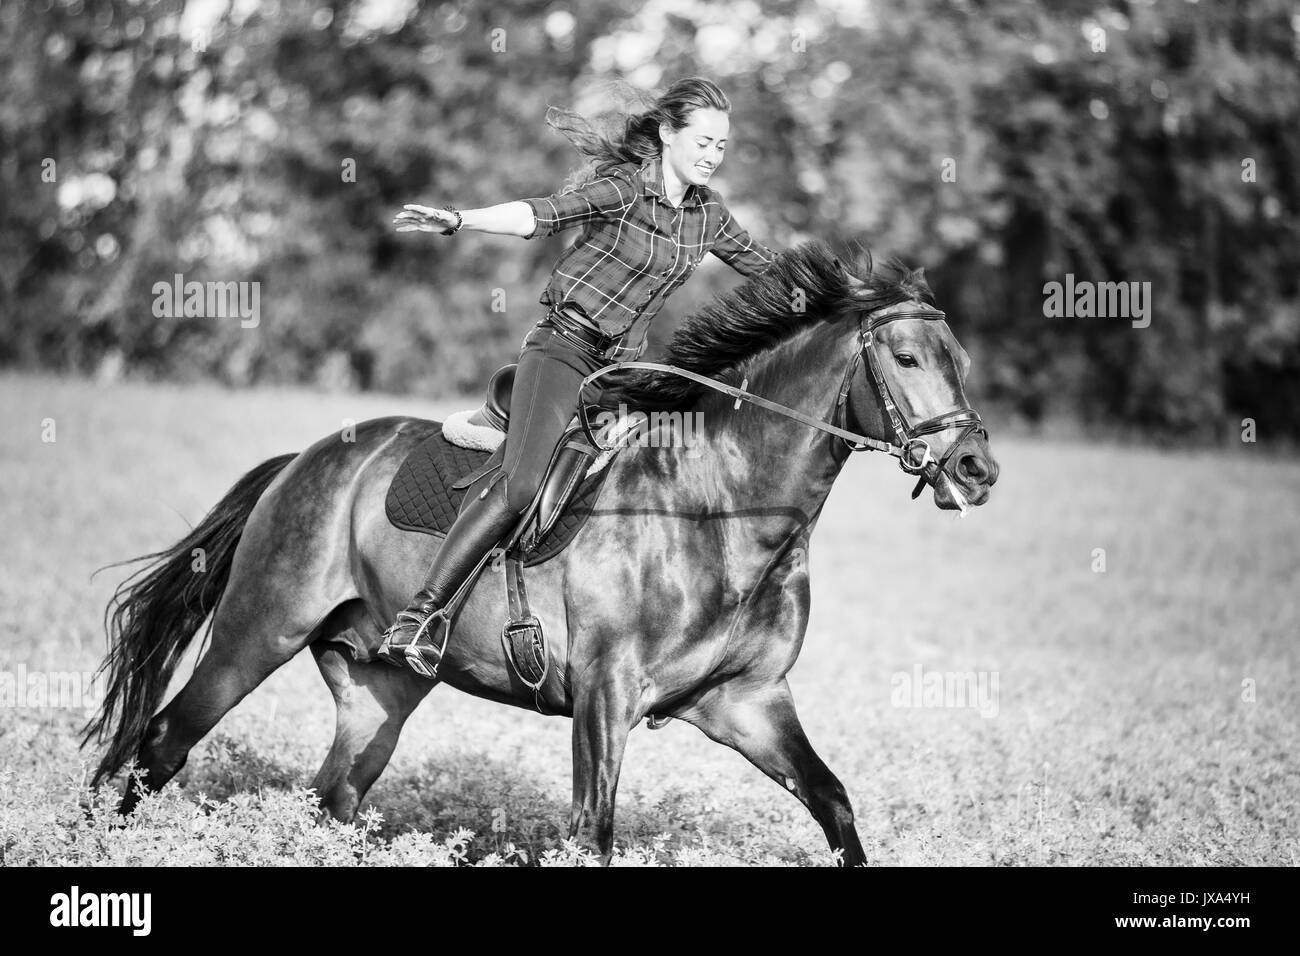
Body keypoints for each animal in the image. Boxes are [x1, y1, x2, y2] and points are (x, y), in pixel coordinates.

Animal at [83, 240, 993, 868]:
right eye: (906, 358)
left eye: (961, 361)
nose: (976, 470)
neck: (721, 508)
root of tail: (305, 462)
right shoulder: (604, 693)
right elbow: (591, 832)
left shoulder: (746, 702)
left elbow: (834, 803)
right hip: (258, 631)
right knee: (158, 746)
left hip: (378, 687)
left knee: (332, 797)